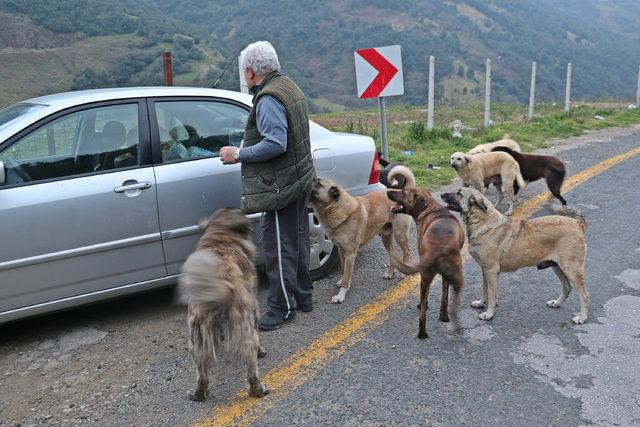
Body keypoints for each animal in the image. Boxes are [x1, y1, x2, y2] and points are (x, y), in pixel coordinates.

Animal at [179, 209, 268, 402]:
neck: (220, 238)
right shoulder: (254, 307)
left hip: (196, 338)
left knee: (202, 374)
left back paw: (198, 394)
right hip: (245, 325)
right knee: (251, 365)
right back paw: (258, 389)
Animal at [310, 167, 416, 304]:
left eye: (317, 183)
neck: (338, 209)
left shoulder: (350, 254)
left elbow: (346, 276)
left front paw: (341, 295)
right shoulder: (341, 251)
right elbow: (344, 272)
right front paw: (344, 283)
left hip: (400, 235)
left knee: (407, 252)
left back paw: (403, 273)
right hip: (386, 238)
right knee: (394, 255)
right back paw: (390, 273)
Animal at [384, 186, 464, 338]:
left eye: (403, 192)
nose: (387, 191)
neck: (431, 207)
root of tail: (439, 248)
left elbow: (426, 299)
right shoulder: (446, 278)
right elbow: (444, 296)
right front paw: (443, 315)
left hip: (425, 277)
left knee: (422, 313)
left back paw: (422, 332)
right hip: (457, 280)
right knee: (453, 306)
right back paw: (452, 322)